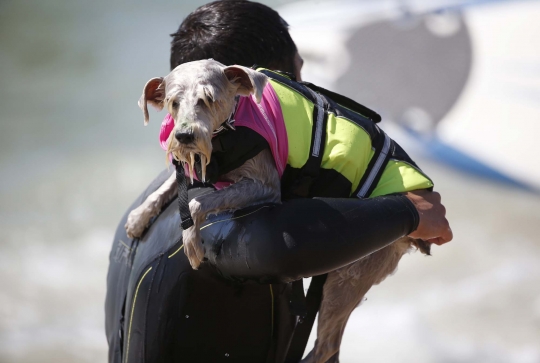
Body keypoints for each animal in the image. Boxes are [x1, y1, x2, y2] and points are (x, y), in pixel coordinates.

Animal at [125, 59, 430, 363]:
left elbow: (196, 203)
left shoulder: (266, 185)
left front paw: (190, 242)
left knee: (327, 343)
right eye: (173, 102)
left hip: (351, 274)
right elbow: (171, 182)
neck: (230, 125)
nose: (185, 135)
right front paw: (139, 216)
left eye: (208, 99)